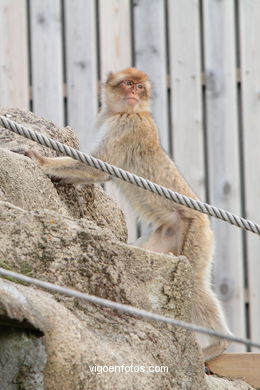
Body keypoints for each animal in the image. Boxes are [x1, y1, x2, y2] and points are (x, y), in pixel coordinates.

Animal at [19, 68, 233, 362]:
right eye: (129, 83)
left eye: (140, 87)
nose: (133, 93)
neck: (126, 112)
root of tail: (204, 221)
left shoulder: (127, 126)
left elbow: (97, 168)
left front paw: (40, 162)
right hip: (167, 236)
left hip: (196, 234)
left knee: (195, 283)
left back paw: (219, 344)